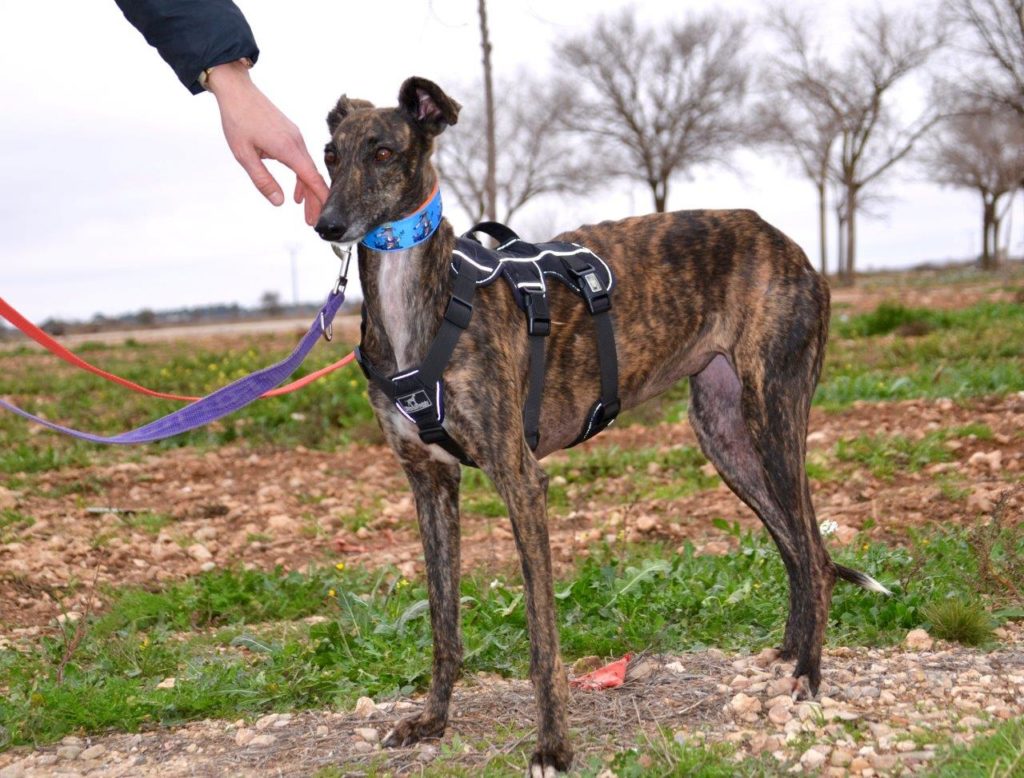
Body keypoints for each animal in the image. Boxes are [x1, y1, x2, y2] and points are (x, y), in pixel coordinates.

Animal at [311, 75, 888, 773]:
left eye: (384, 152)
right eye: (330, 154)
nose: (327, 224)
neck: (426, 299)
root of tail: (786, 242)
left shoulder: (521, 480)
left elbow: (543, 642)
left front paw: (554, 747)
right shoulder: (430, 482)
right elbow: (443, 623)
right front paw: (432, 721)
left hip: (775, 412)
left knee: (813, 549)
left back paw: (808, 675)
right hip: (724, 433)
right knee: (800, 552)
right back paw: (789, 656)